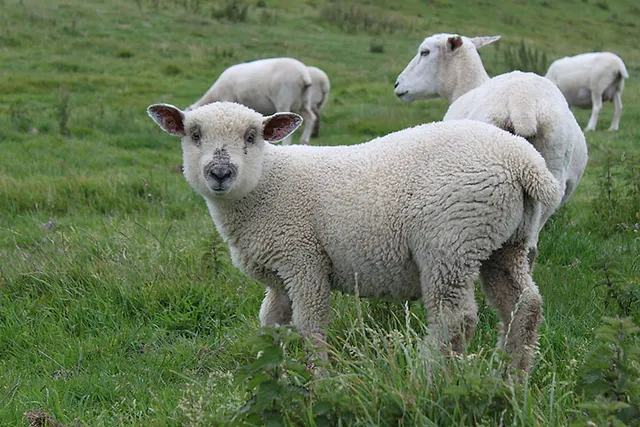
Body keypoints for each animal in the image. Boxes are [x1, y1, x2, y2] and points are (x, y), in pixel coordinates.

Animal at [147, 101, 563, 372]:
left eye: (252, 136)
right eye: (194, 134)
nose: (220, 173)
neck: (266, 186)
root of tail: (524, 164)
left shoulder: (303, 260)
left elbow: (310, 326)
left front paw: (320, 382)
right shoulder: (281, 274)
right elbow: (271, 326)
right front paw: (267, 377)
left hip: (451, 240)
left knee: (455, 319)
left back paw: (430, 378)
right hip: (504, 243)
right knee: (524, 306)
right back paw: (510, 379)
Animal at [187, 57, 316, 145]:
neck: (215, 93)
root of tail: (304, 75)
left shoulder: (228, 99)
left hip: (284, 100)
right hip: (304, 102)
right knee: (311, 118)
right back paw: (305, 140)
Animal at [394, 33, 588, 263]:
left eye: (424, 52)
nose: (397, 84)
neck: (465, 87)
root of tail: (523, 104)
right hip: (552, 177)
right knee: (530, 246)